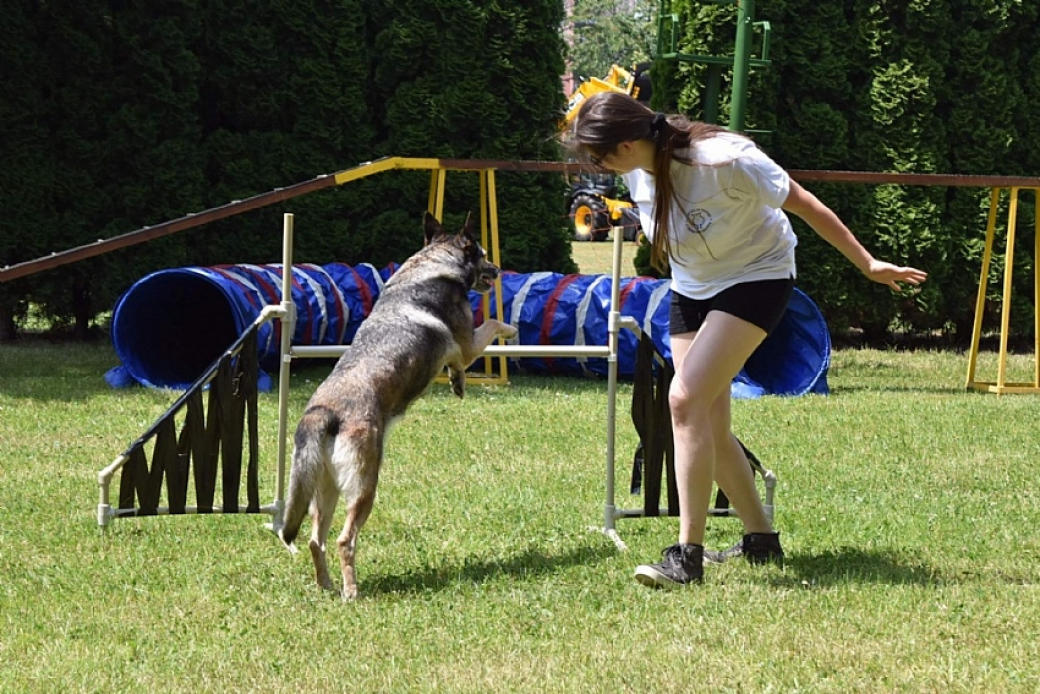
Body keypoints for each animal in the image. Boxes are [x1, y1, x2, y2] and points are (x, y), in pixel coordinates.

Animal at [278, 210, 517, 599]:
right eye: (482, 254)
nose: (497, 269)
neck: (434, 262)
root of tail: (323, 413)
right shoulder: (467, 343)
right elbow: (493, 323)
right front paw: (511, 330)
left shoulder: (459, 353)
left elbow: (457, 367)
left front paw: (458, 384)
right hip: (365, 487)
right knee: (345, 540)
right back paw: (352, 593)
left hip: (325, 490)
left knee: (316, 541)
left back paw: (327, 586)